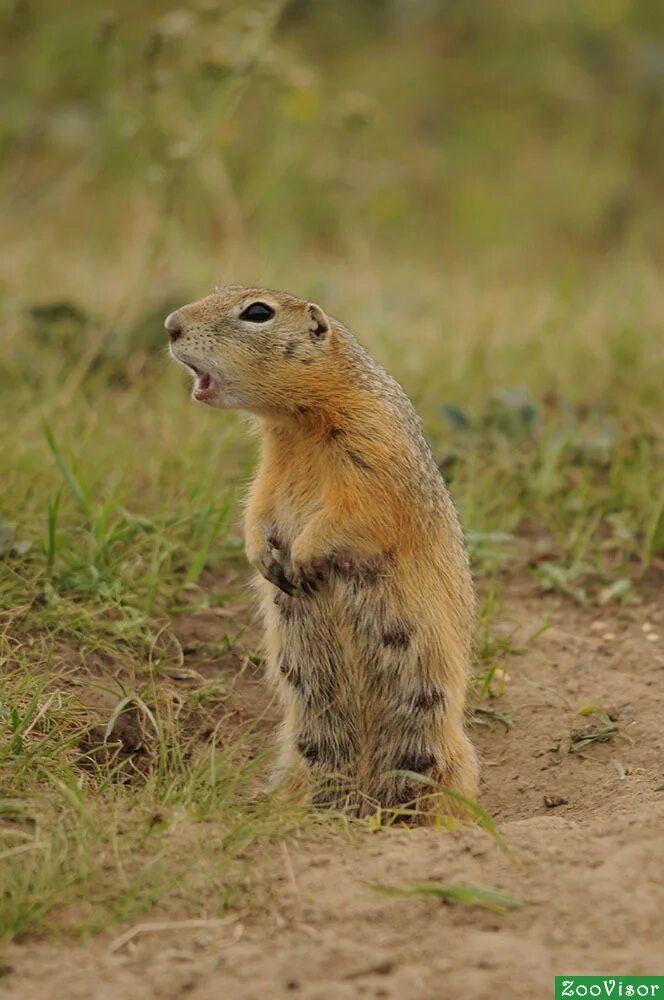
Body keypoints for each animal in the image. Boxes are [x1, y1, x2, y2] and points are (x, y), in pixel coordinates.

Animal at [165, 286, 478, 816]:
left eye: (257, 312)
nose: (169, 325)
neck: (297, 423)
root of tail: (366, 796)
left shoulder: (375, 442)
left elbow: (359, 506)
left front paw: (304, 557)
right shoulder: (270, 464)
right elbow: (257, 502)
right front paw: (263, 556)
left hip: (440, 745)